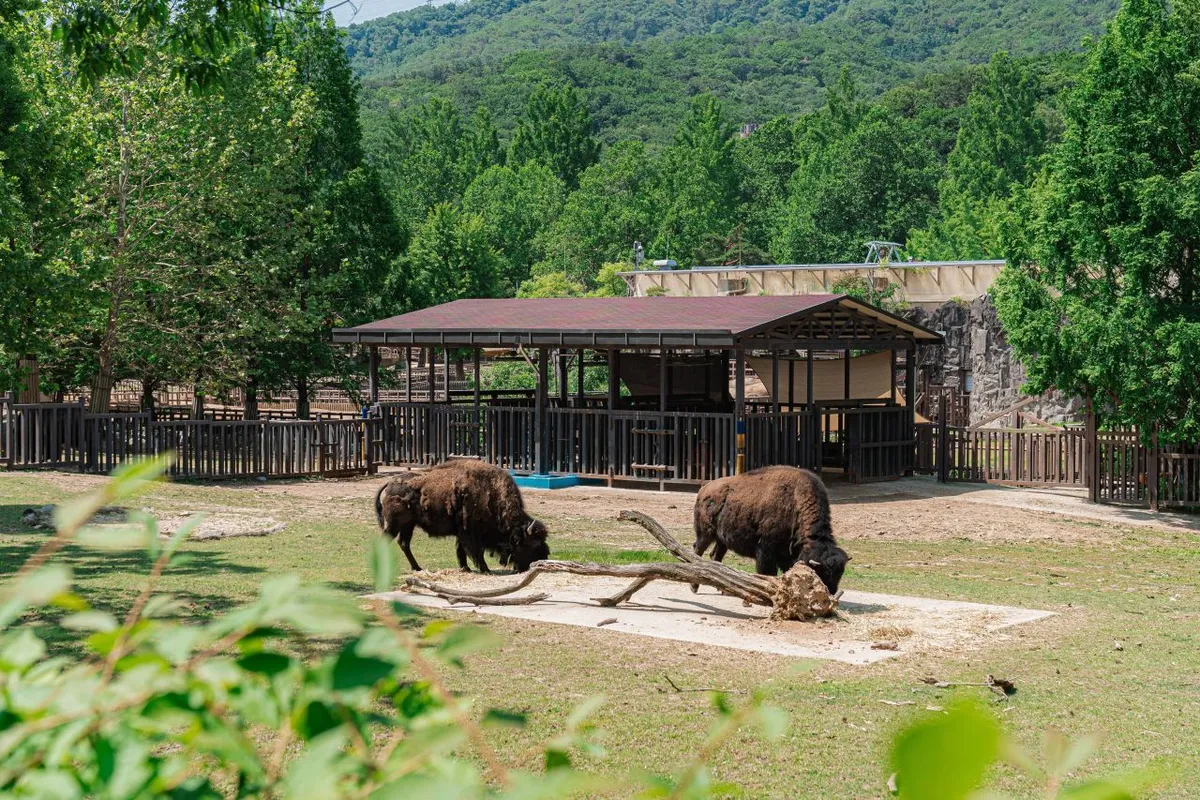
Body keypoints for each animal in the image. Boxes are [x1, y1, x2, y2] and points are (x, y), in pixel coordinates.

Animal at [374, 459, 550, 574]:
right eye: (533, 544)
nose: (544, 557)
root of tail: (390, 483)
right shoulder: (471, 533)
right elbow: (476, 552)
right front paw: (485, 570)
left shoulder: (462, 533)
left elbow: (461, 550)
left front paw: (465, 568)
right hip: (395, 525)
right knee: (387, 540)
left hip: (408, 525)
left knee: (404, 543)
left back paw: (417, 568)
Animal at [692, 466, 850, 594]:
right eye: (821, 572)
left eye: (840, 574)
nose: (831, 592)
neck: (795, 502)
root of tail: (704, 489)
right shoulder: (765, 550)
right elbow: (767, 572)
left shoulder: (787, 555)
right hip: (705, 534)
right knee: (698, 551)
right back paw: (694, 587)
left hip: (722, 540)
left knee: (715, 556)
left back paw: (721, 589)